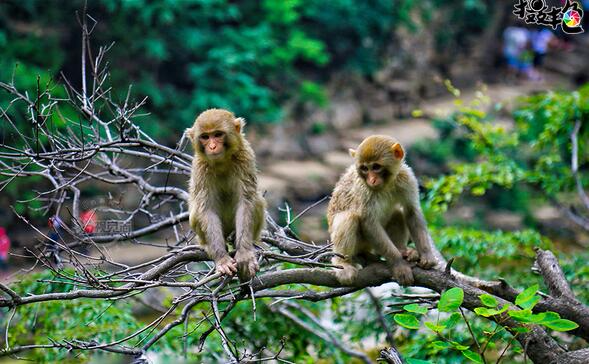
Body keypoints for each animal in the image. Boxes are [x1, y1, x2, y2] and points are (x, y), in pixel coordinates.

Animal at [186, 109, 264, 280]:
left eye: (218, 134)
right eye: (205, 137)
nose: (212, 146)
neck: (222, 162)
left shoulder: (245, 158)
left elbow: (246, 202)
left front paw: (245, 254)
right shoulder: (200, 168)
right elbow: (206, 209)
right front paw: (222, 259)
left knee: (257, 200)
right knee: (196, 211)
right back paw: (209, 246)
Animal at [328, 135, 438, 286]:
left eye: (376, 167)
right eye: (364, 168)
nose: (372, 180)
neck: (386, 184)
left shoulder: (406, 178)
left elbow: (411, 211)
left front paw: (427, 255)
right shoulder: (363, 189)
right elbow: (368, 223)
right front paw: (398, 264)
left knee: (397, 214)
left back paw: (403, 251)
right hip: (361, 242)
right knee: (348, 217)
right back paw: (343, 263)